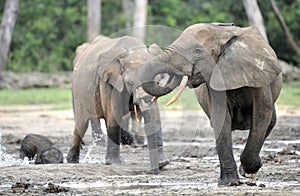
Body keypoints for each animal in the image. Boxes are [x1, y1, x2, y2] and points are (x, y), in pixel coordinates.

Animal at [139, 23, 282, 185]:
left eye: (197, 51)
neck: (221, 32)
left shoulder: (258, 74)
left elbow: (262, 114)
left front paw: (246, 171)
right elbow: (220, 117)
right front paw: (229, 183)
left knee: (270, 121)